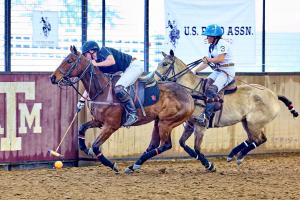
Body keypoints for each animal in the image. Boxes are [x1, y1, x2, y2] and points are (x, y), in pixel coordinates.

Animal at [49, 46, 195, 173]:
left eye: (69, 61)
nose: (52, 77)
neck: (102, 90)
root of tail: (188, 95)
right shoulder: (99, 121)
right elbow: (81, 129)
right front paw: (86, 149)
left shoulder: (111, 125)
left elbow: (96, 146)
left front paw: (112, 165)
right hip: (158, 121)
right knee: (154, 144)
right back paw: (133, 166)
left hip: (167, 122)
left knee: (166, 145)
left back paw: (134, 165)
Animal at [155, 50, 298, 172]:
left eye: (165, 64)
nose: (154, 81)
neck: (193, 92)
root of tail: (274, 95)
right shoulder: (190, 124)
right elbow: (183, 144)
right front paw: (207, 163)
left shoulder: (200, 126)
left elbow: (197, 148)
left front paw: (209, 165)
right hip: (246, 122)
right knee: (253, 139)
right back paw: (232, 154)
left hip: (254, 123)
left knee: (259, 140)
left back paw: (238, 156)